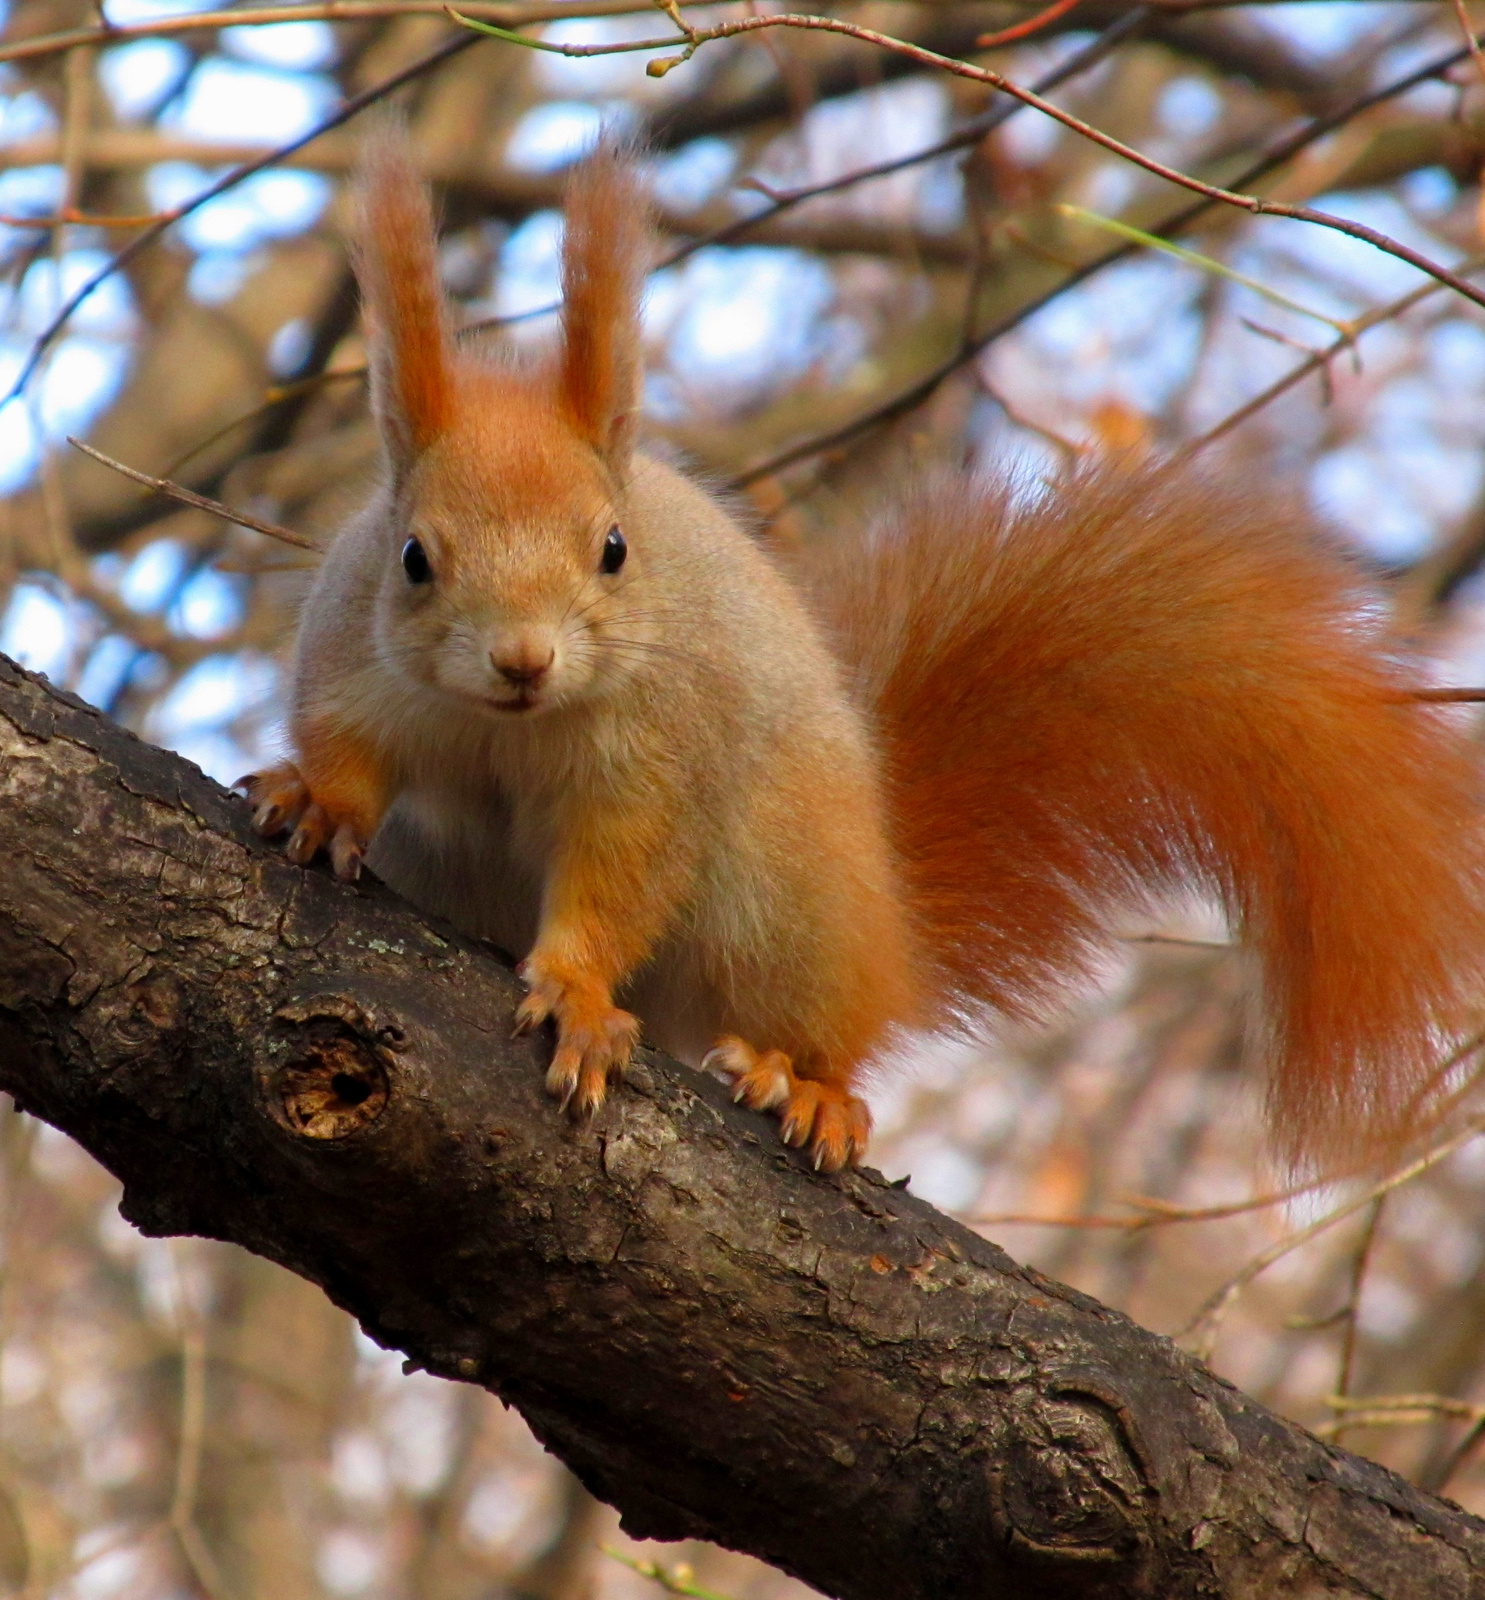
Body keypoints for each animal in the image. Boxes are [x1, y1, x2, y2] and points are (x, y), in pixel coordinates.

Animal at [240, 128, 1485, 1177]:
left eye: (613, 549)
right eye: (414, 557)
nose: (522, 660)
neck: (509, 728)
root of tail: (888, 914)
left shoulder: (659, 756)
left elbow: (622, 871)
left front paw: (583, 998)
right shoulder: (355, 668)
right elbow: (347, 751)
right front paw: (316, 801)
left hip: (786, 896)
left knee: (827, 1026)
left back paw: (808, 1086)